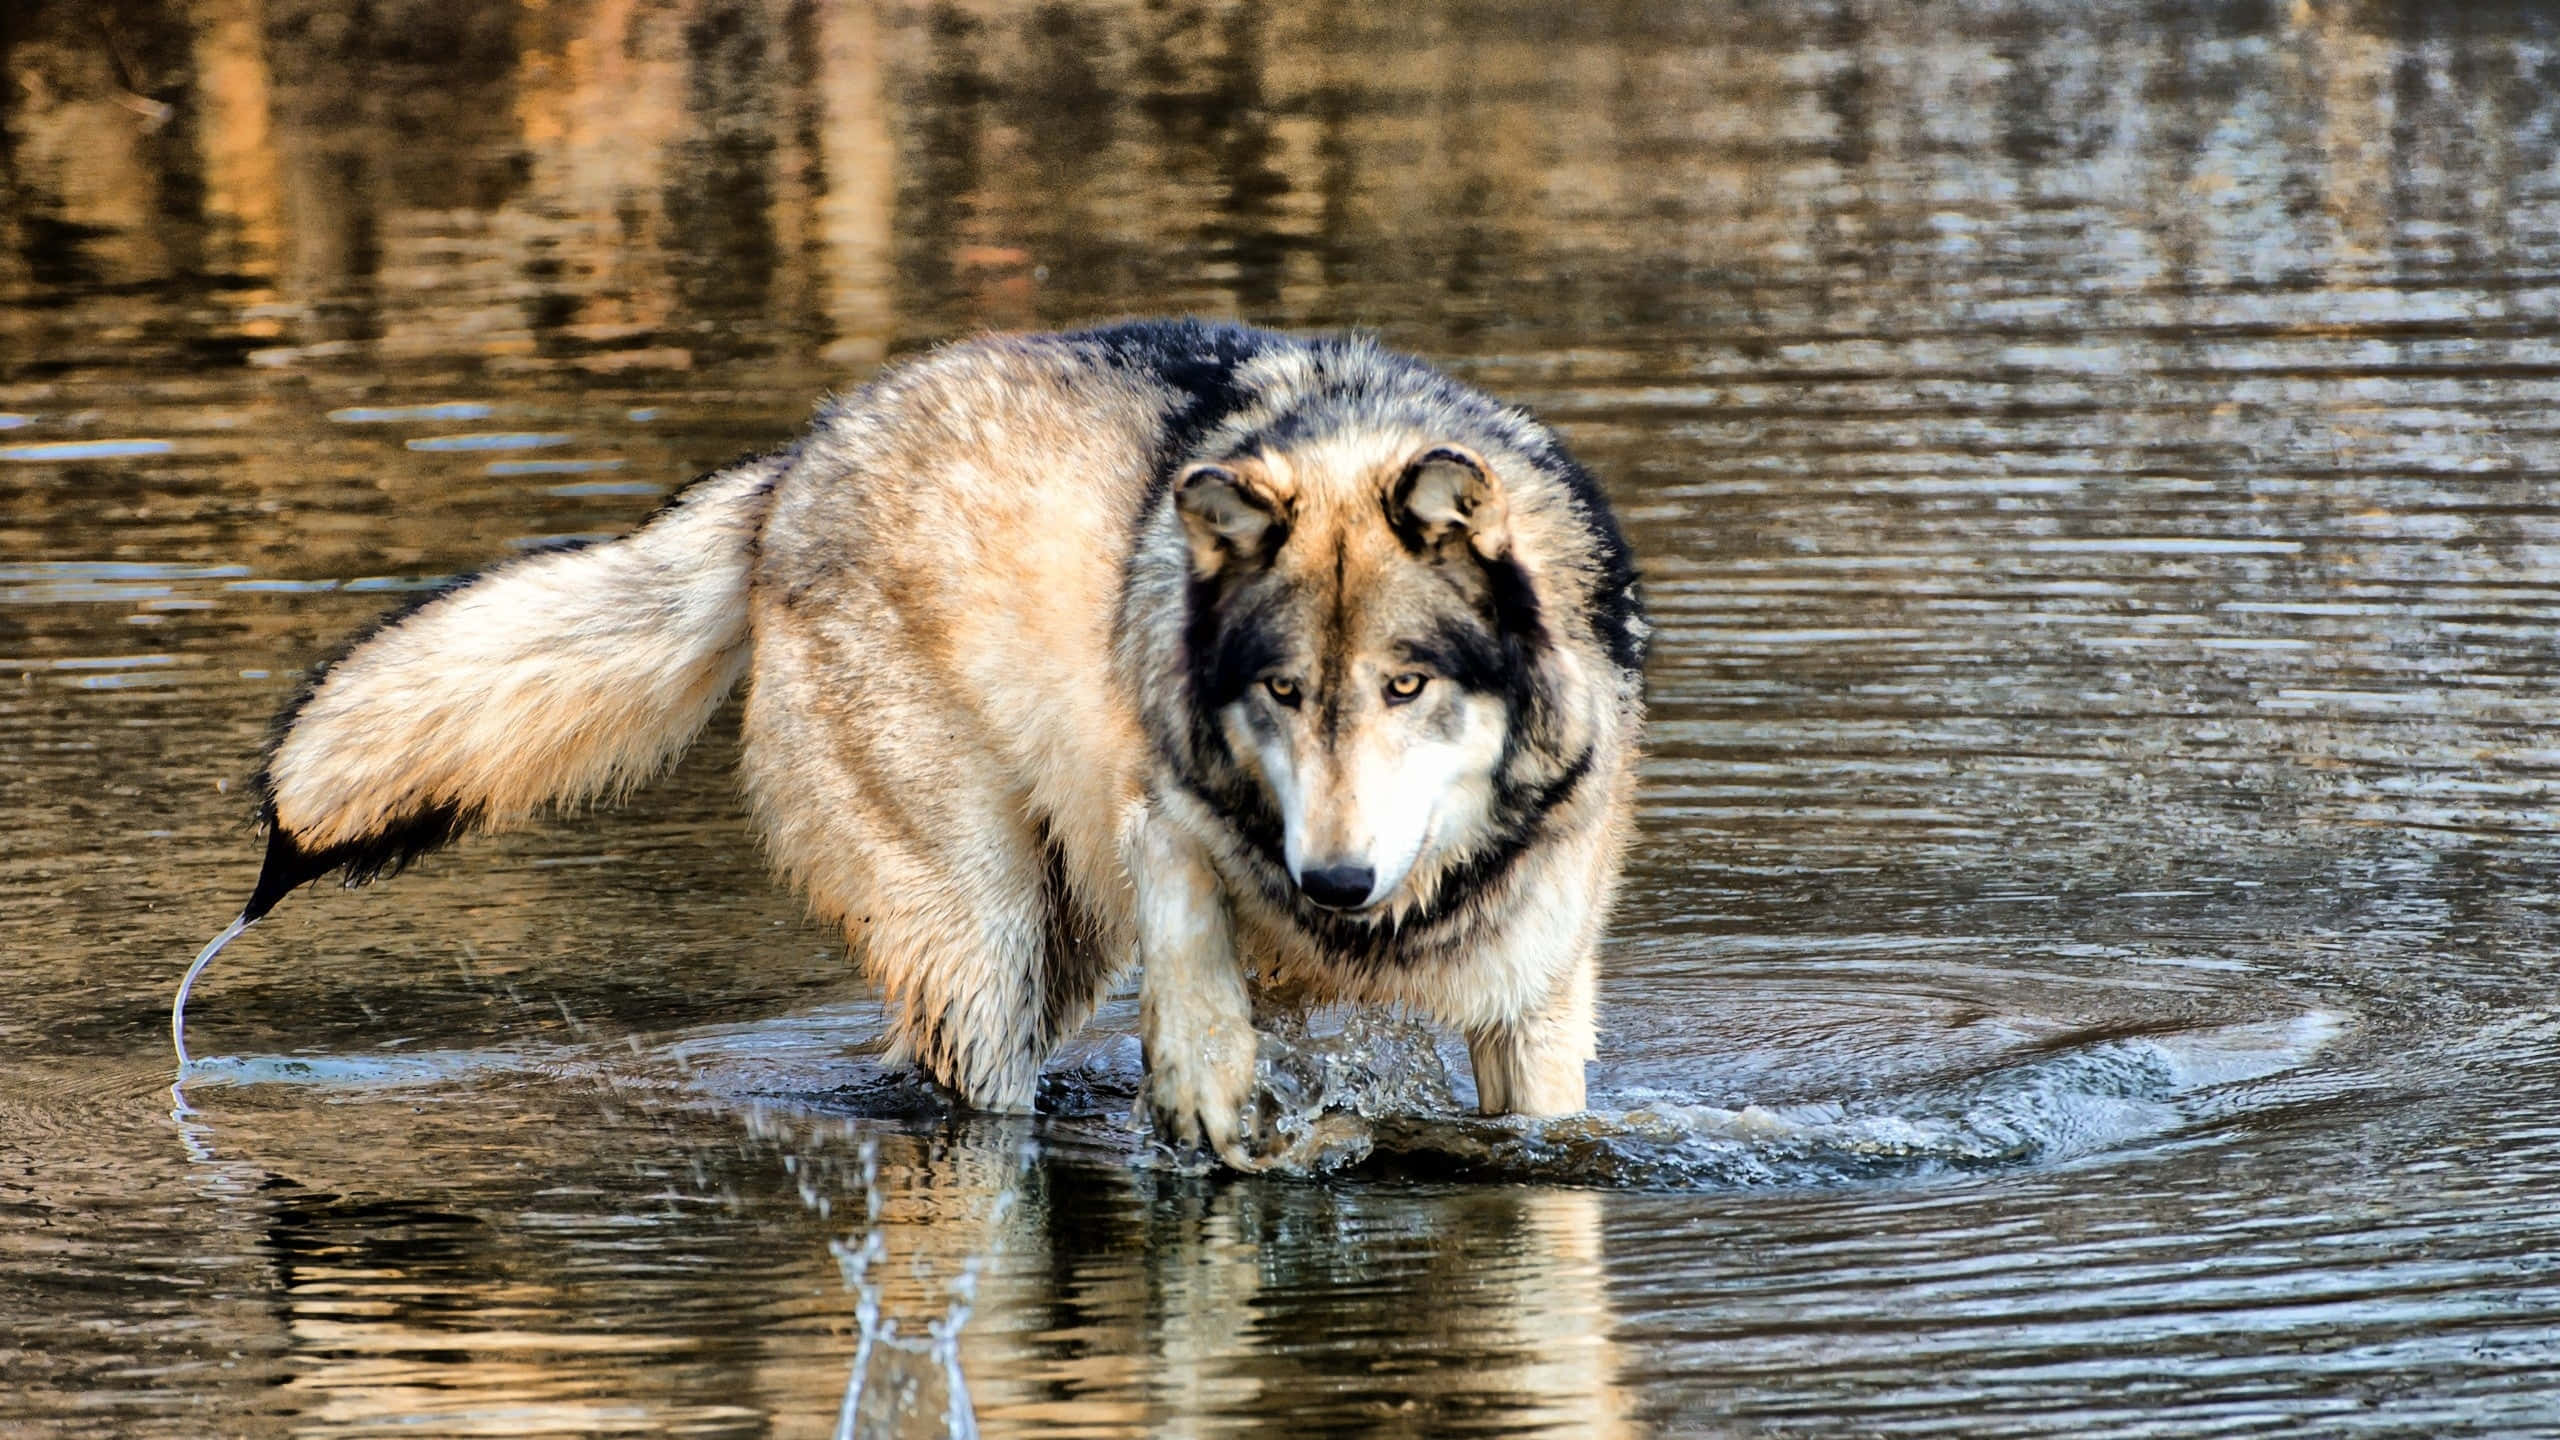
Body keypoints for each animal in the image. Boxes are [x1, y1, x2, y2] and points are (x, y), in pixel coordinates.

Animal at [222, 319, 1649, 1165]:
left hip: (1044, 947)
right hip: (989, 939)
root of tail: (795, 461)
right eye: (1285, 693)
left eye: (1405, 685)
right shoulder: (1157, 799)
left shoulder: (1534, 1004)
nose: (1334, 881)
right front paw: (1204, 1087)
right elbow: (1190, 924)